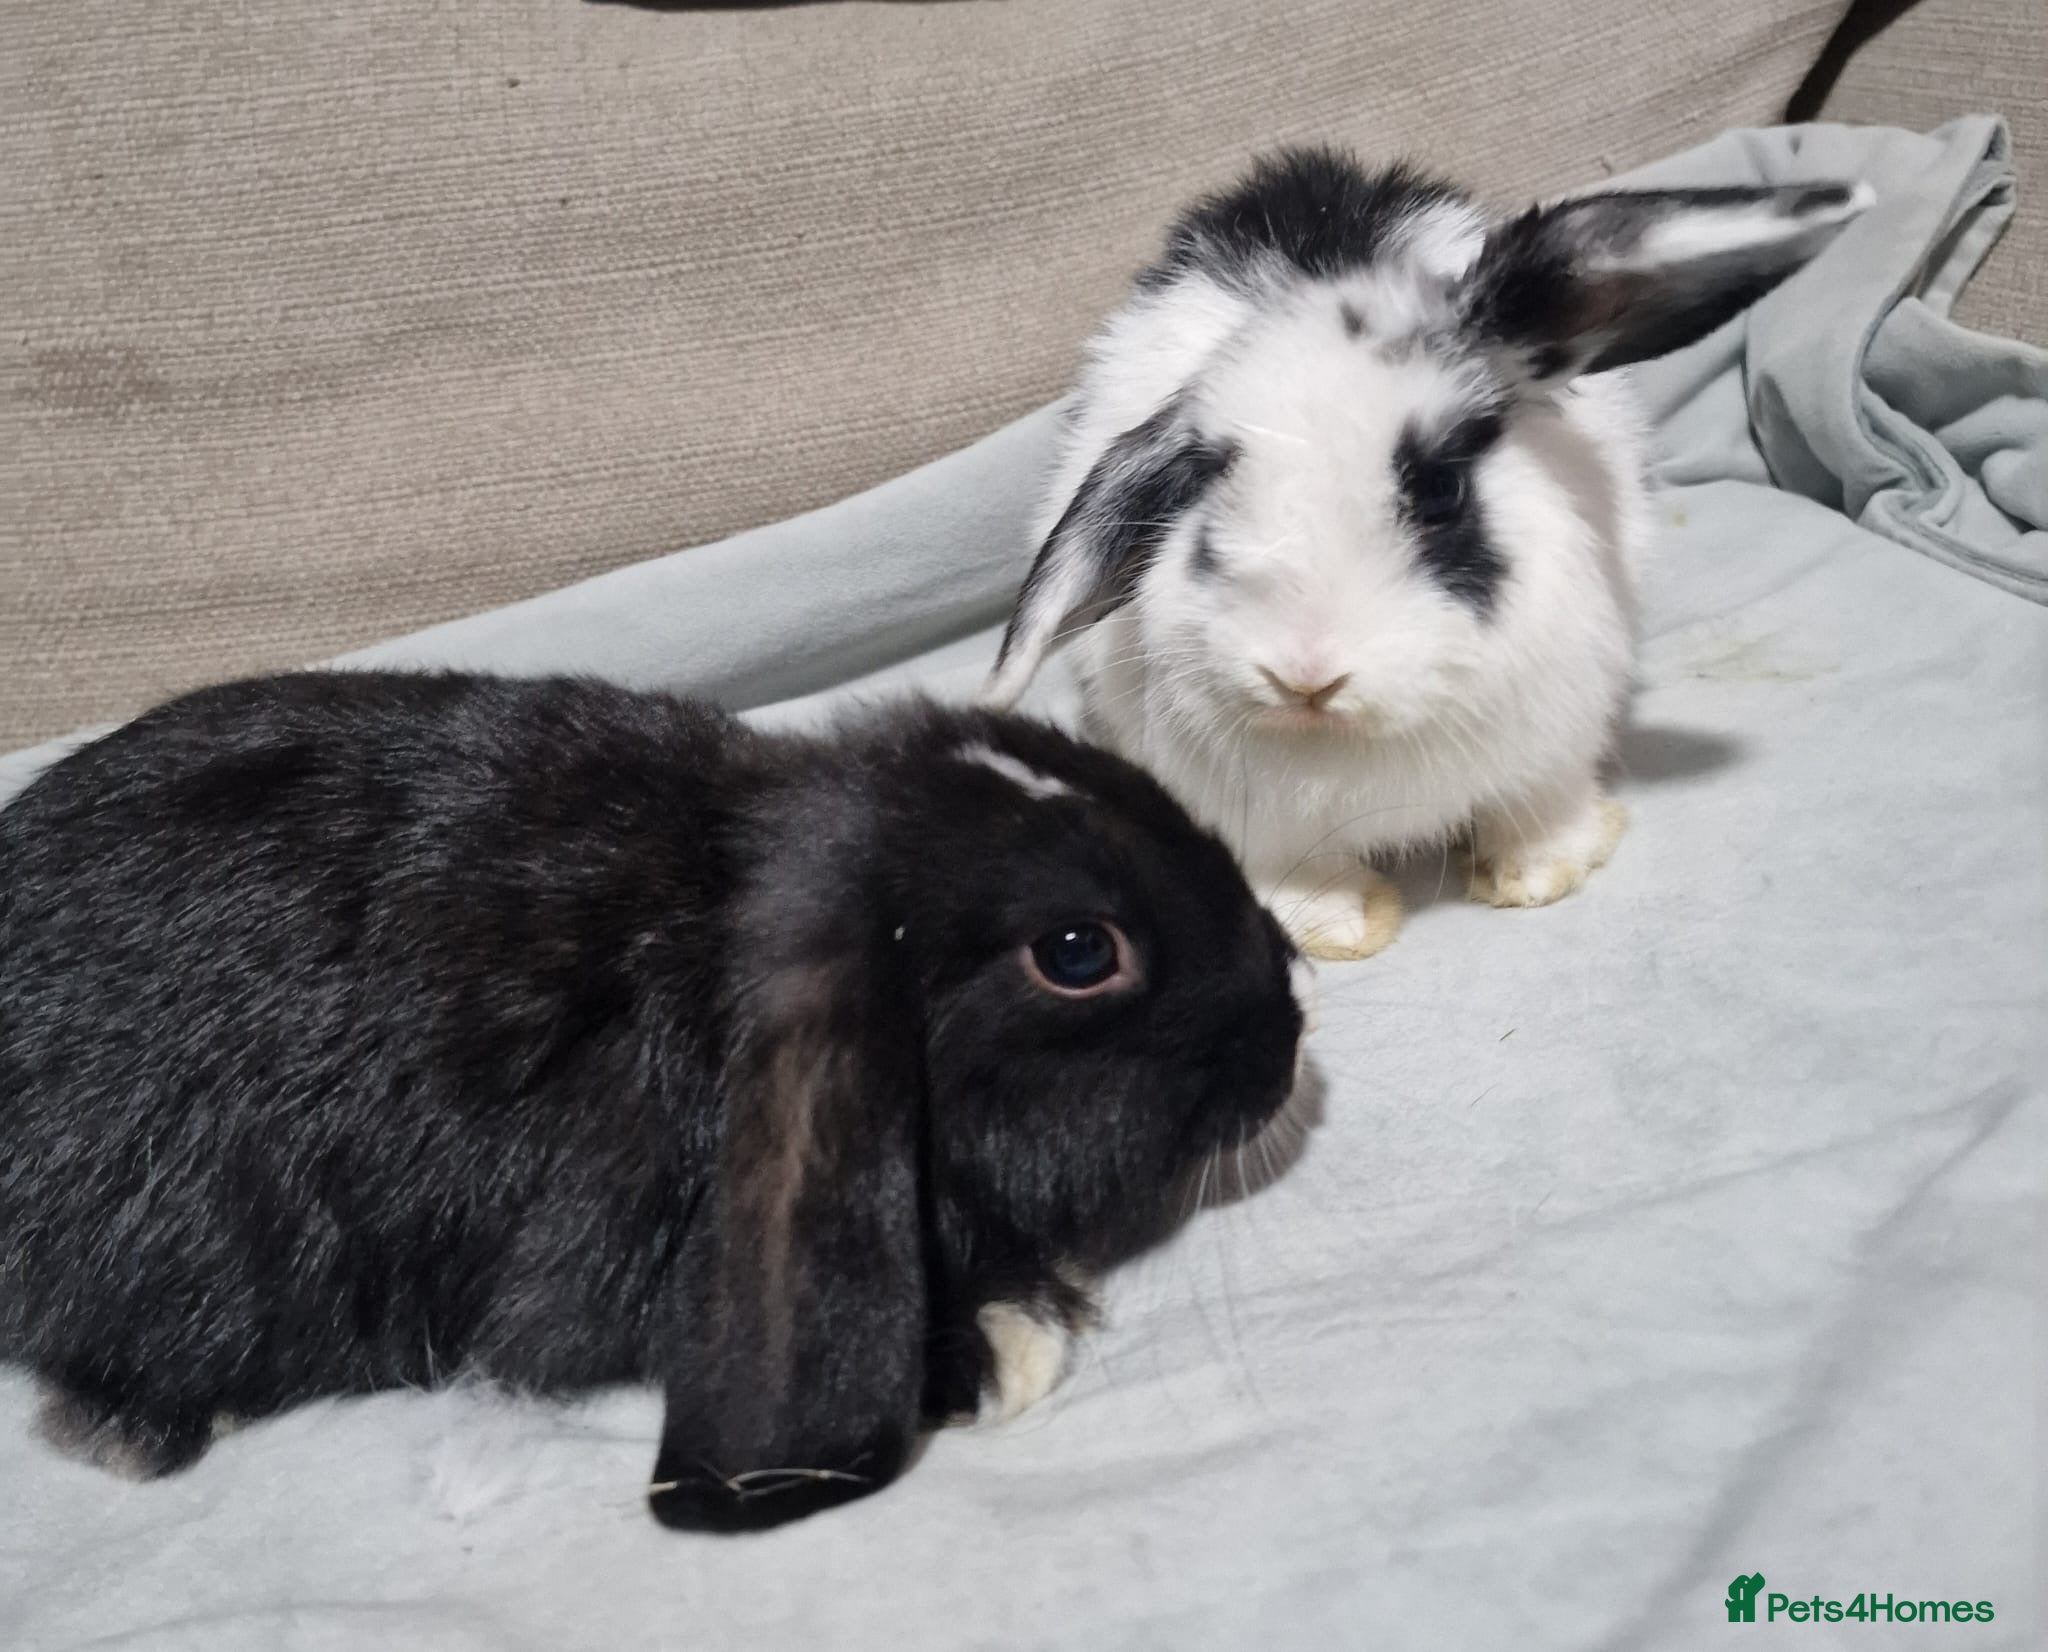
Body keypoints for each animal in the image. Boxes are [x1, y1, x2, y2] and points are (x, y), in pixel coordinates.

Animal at [982, 147, 1871, 959]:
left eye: (1441, 489)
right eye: (1205, 492)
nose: (1303, 676)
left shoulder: (1554, 745)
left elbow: (1541, 807)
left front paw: (1540, 876)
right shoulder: (1250, 814)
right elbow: (1290, 868)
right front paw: (1336, 930)